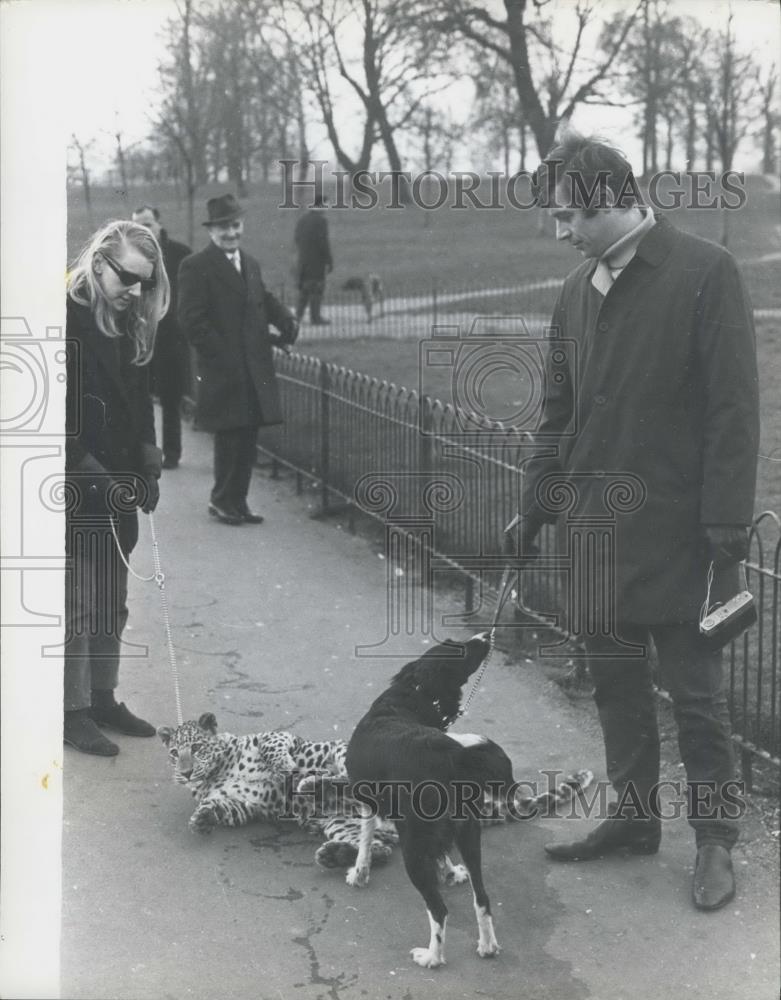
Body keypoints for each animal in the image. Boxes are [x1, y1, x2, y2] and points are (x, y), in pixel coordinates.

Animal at [344, 632, 508, 968]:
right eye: (458, 645)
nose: (485, 635)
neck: (410, 697)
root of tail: (454, 757)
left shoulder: (368, 801)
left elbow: (364, 839)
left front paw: (359, 873)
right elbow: (442, 854)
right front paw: (451, 871)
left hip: (414, 848)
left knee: (438, 910)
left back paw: (432, 956)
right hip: (469, 834)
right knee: (482, 899)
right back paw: (487, 946)